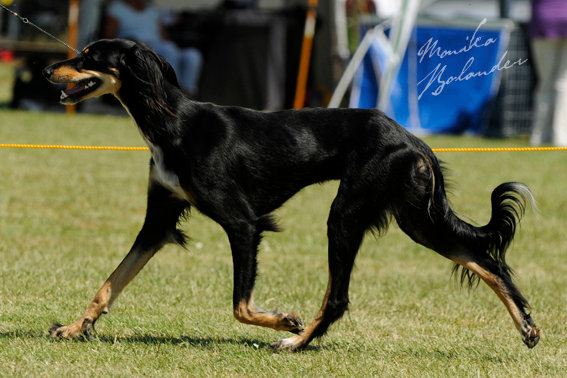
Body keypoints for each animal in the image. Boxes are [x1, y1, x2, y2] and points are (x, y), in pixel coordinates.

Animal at [42, 39, 540, 350]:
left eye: (89, 55)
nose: (46, 68)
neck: (172, 123)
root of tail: (411, 137)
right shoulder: (159, 221)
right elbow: (110, 284)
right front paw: (74, 328)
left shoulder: (243, 223)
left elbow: (241, 305)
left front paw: (284, 320)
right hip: (416, 216)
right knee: (487, 261)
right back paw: (528, 327)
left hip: (347, 214)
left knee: (338, 298)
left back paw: (296, 341)